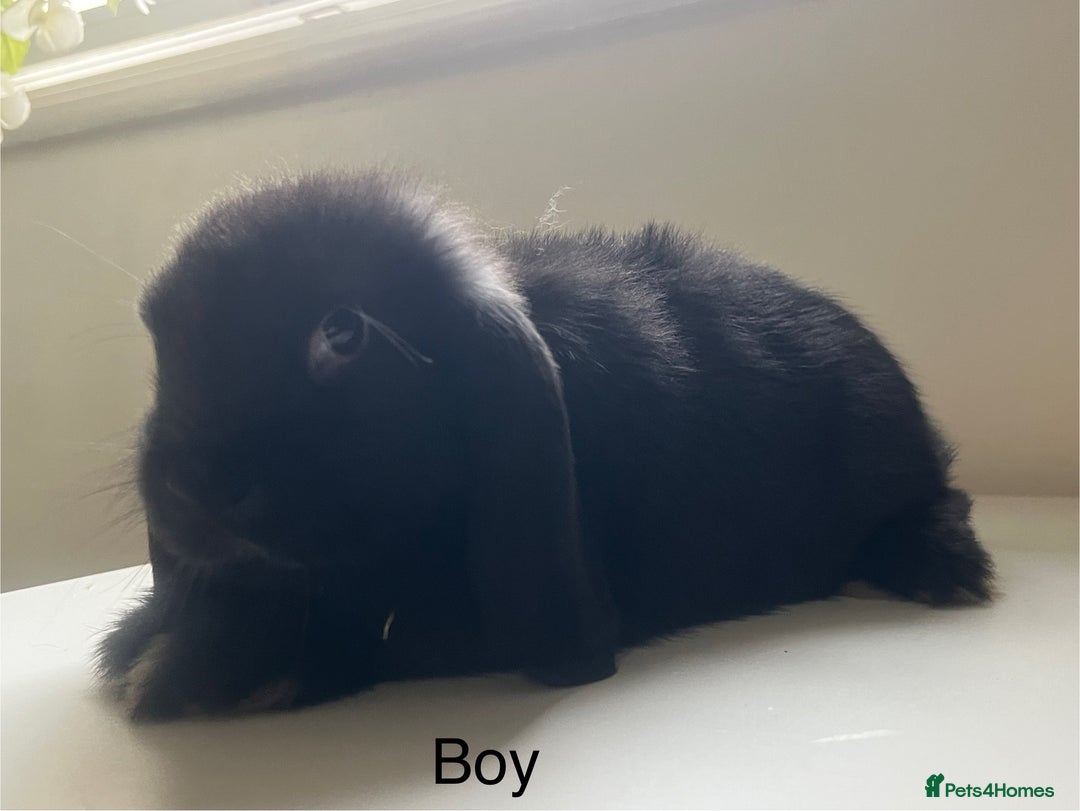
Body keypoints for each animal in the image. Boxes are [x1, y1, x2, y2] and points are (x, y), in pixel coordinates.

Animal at [97, 169, 994, 720]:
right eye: (163, 340)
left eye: (343, 333)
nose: (192, 482)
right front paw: (137, 643)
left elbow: (348, 630)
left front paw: (178, 672)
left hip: (889, 462)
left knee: (939, 498)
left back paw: (942, 569)